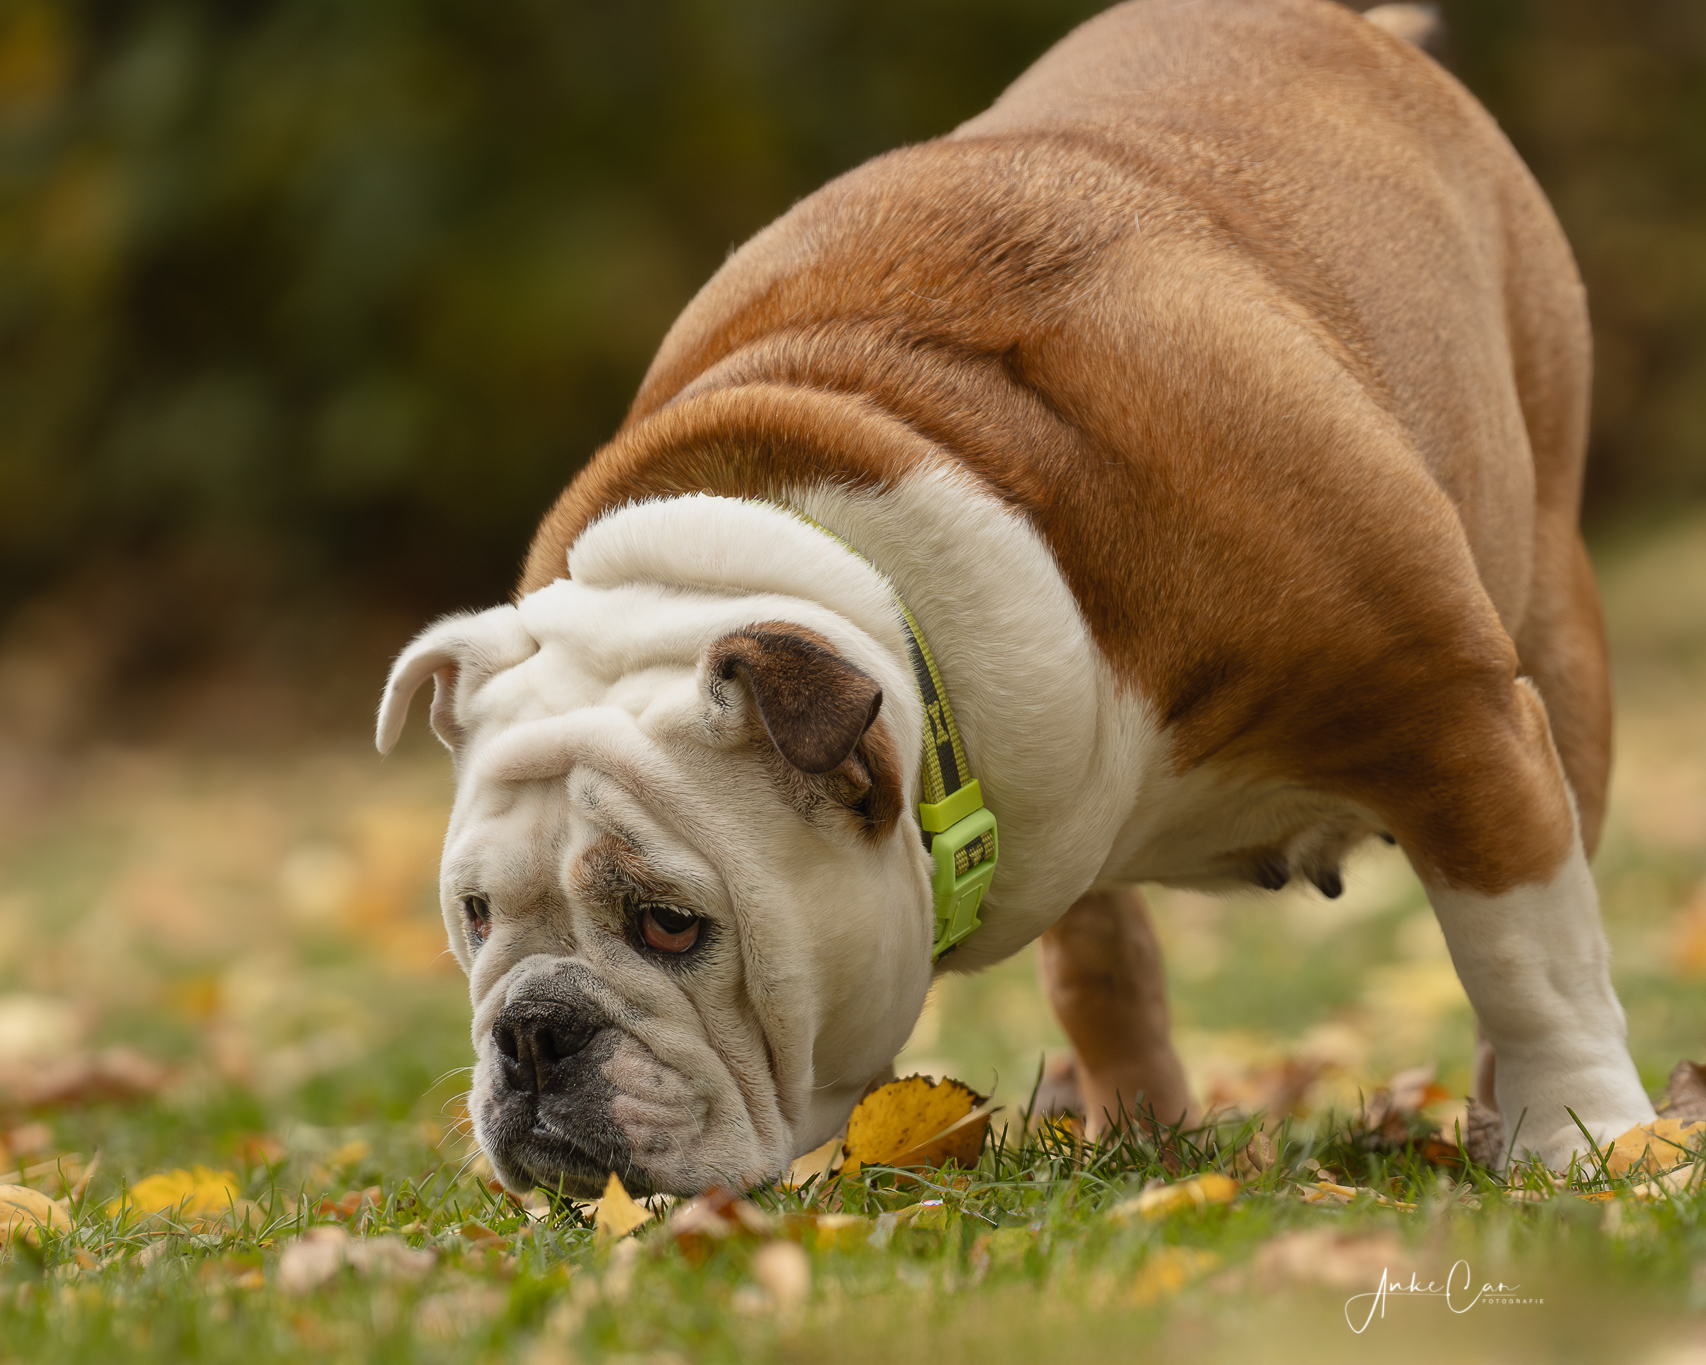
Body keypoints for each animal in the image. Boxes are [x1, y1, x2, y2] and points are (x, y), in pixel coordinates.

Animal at [377, 0, 1656, 1195]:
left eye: (669, 924)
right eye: (475, 916)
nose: (532, 1030)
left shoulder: (1450, 716)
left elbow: (1527, 959)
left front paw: (1580, 1140)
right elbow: (1101, 967)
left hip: (1551, 630)